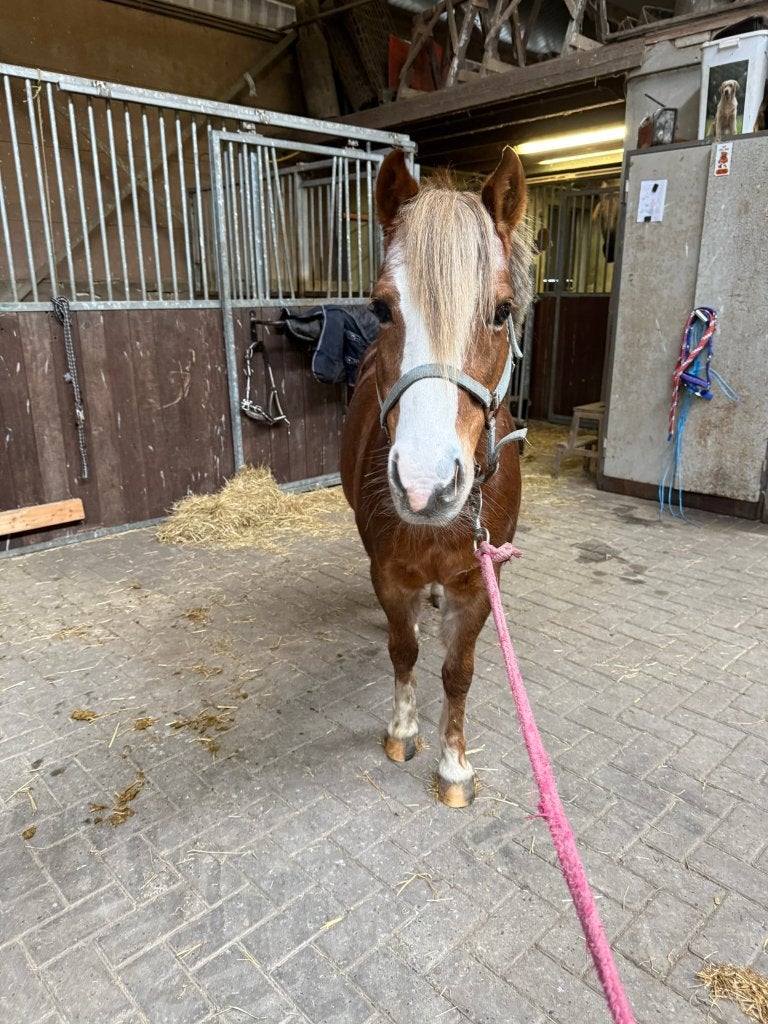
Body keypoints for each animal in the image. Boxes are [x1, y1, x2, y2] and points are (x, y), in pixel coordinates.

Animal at [340, 146, 532, 808]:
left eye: (502, 312)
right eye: (380, 308)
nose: (426, 487)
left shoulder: (477, 586)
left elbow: (457, 671)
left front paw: (454, 766)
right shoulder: (387, 573)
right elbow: (404, 651)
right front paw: (403, 732)